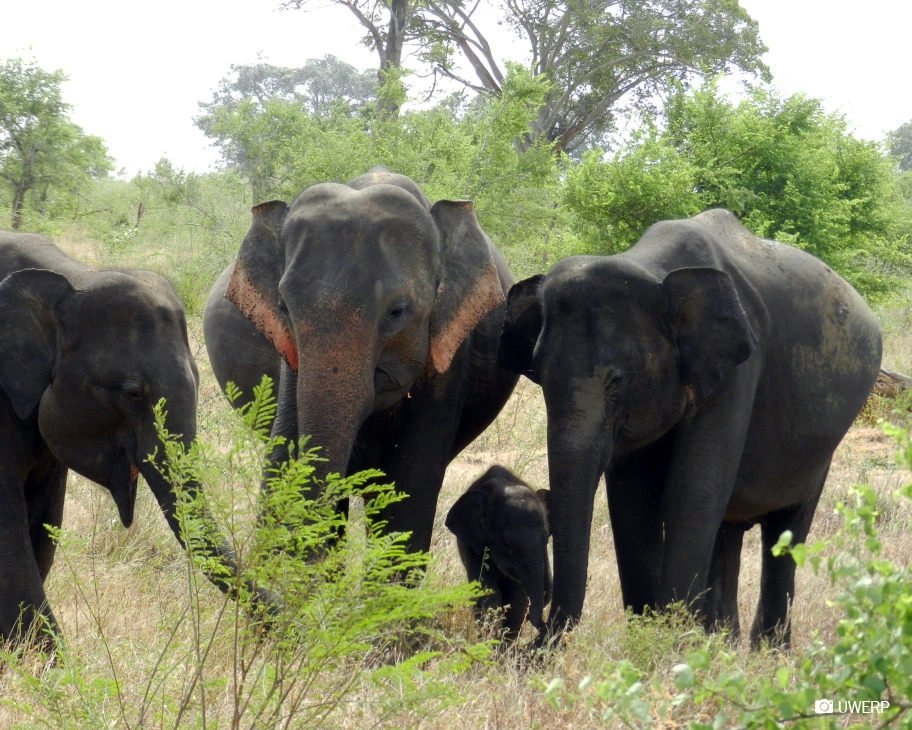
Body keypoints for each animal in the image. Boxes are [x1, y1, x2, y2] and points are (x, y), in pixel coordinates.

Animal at [445, 465, 552, 641]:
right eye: (507, 544)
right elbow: (486, 593)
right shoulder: (473, 545)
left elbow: (517, 600)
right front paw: (491, 642)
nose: (543, 626)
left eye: (547, 540)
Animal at [497, 208, 882, 647]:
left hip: (821, 446)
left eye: (617, 382)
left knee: (787, 530)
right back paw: (722, 644)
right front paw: (652, 638)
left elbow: (692, 492)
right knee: (728, 531)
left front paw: (667, 644)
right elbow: (633, 498)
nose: (534, 633)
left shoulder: (738, 367)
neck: (652, 269)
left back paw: (767, 652)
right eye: (539, 377)